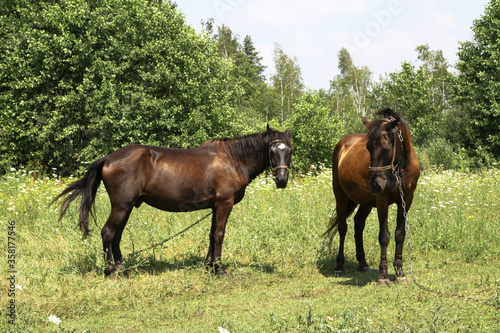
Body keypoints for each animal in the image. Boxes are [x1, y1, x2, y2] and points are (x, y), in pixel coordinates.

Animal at [53, 125, 292, 274]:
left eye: (289, 150)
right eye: (272, 150)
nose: (281, 180)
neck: (232, 159)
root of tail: (109, 158)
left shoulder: (215, 206)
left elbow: (211, 234)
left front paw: (208, 265)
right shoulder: (225, 204)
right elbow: (219, 235)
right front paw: (218, 268)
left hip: (126, 207)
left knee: (116, 236)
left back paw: (121, 268)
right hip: (121, 206)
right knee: (108, 233)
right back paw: (110, 270)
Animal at [326, 107, 420, 284]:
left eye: (386, 146)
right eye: (368, 147)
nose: (376, 184)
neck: (399, 169)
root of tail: (342, 144)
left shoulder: (406, 200)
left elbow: (399, 235)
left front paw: (400, 273)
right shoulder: (382, 201)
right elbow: (384, 236)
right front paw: (383, 275)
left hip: (366, 202)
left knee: (358, 224)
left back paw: (363, 264)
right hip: (341, 197)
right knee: (343, 228)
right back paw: (339, 267)